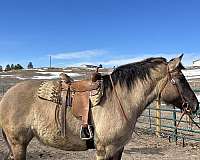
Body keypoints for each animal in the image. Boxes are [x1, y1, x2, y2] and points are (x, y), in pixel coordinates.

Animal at [0, 54, 198, 159]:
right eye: (181, 79)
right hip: (18, 144)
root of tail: (6, 96)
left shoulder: (118, 149)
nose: (195, 104)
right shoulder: (104, 150)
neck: (120, 101)